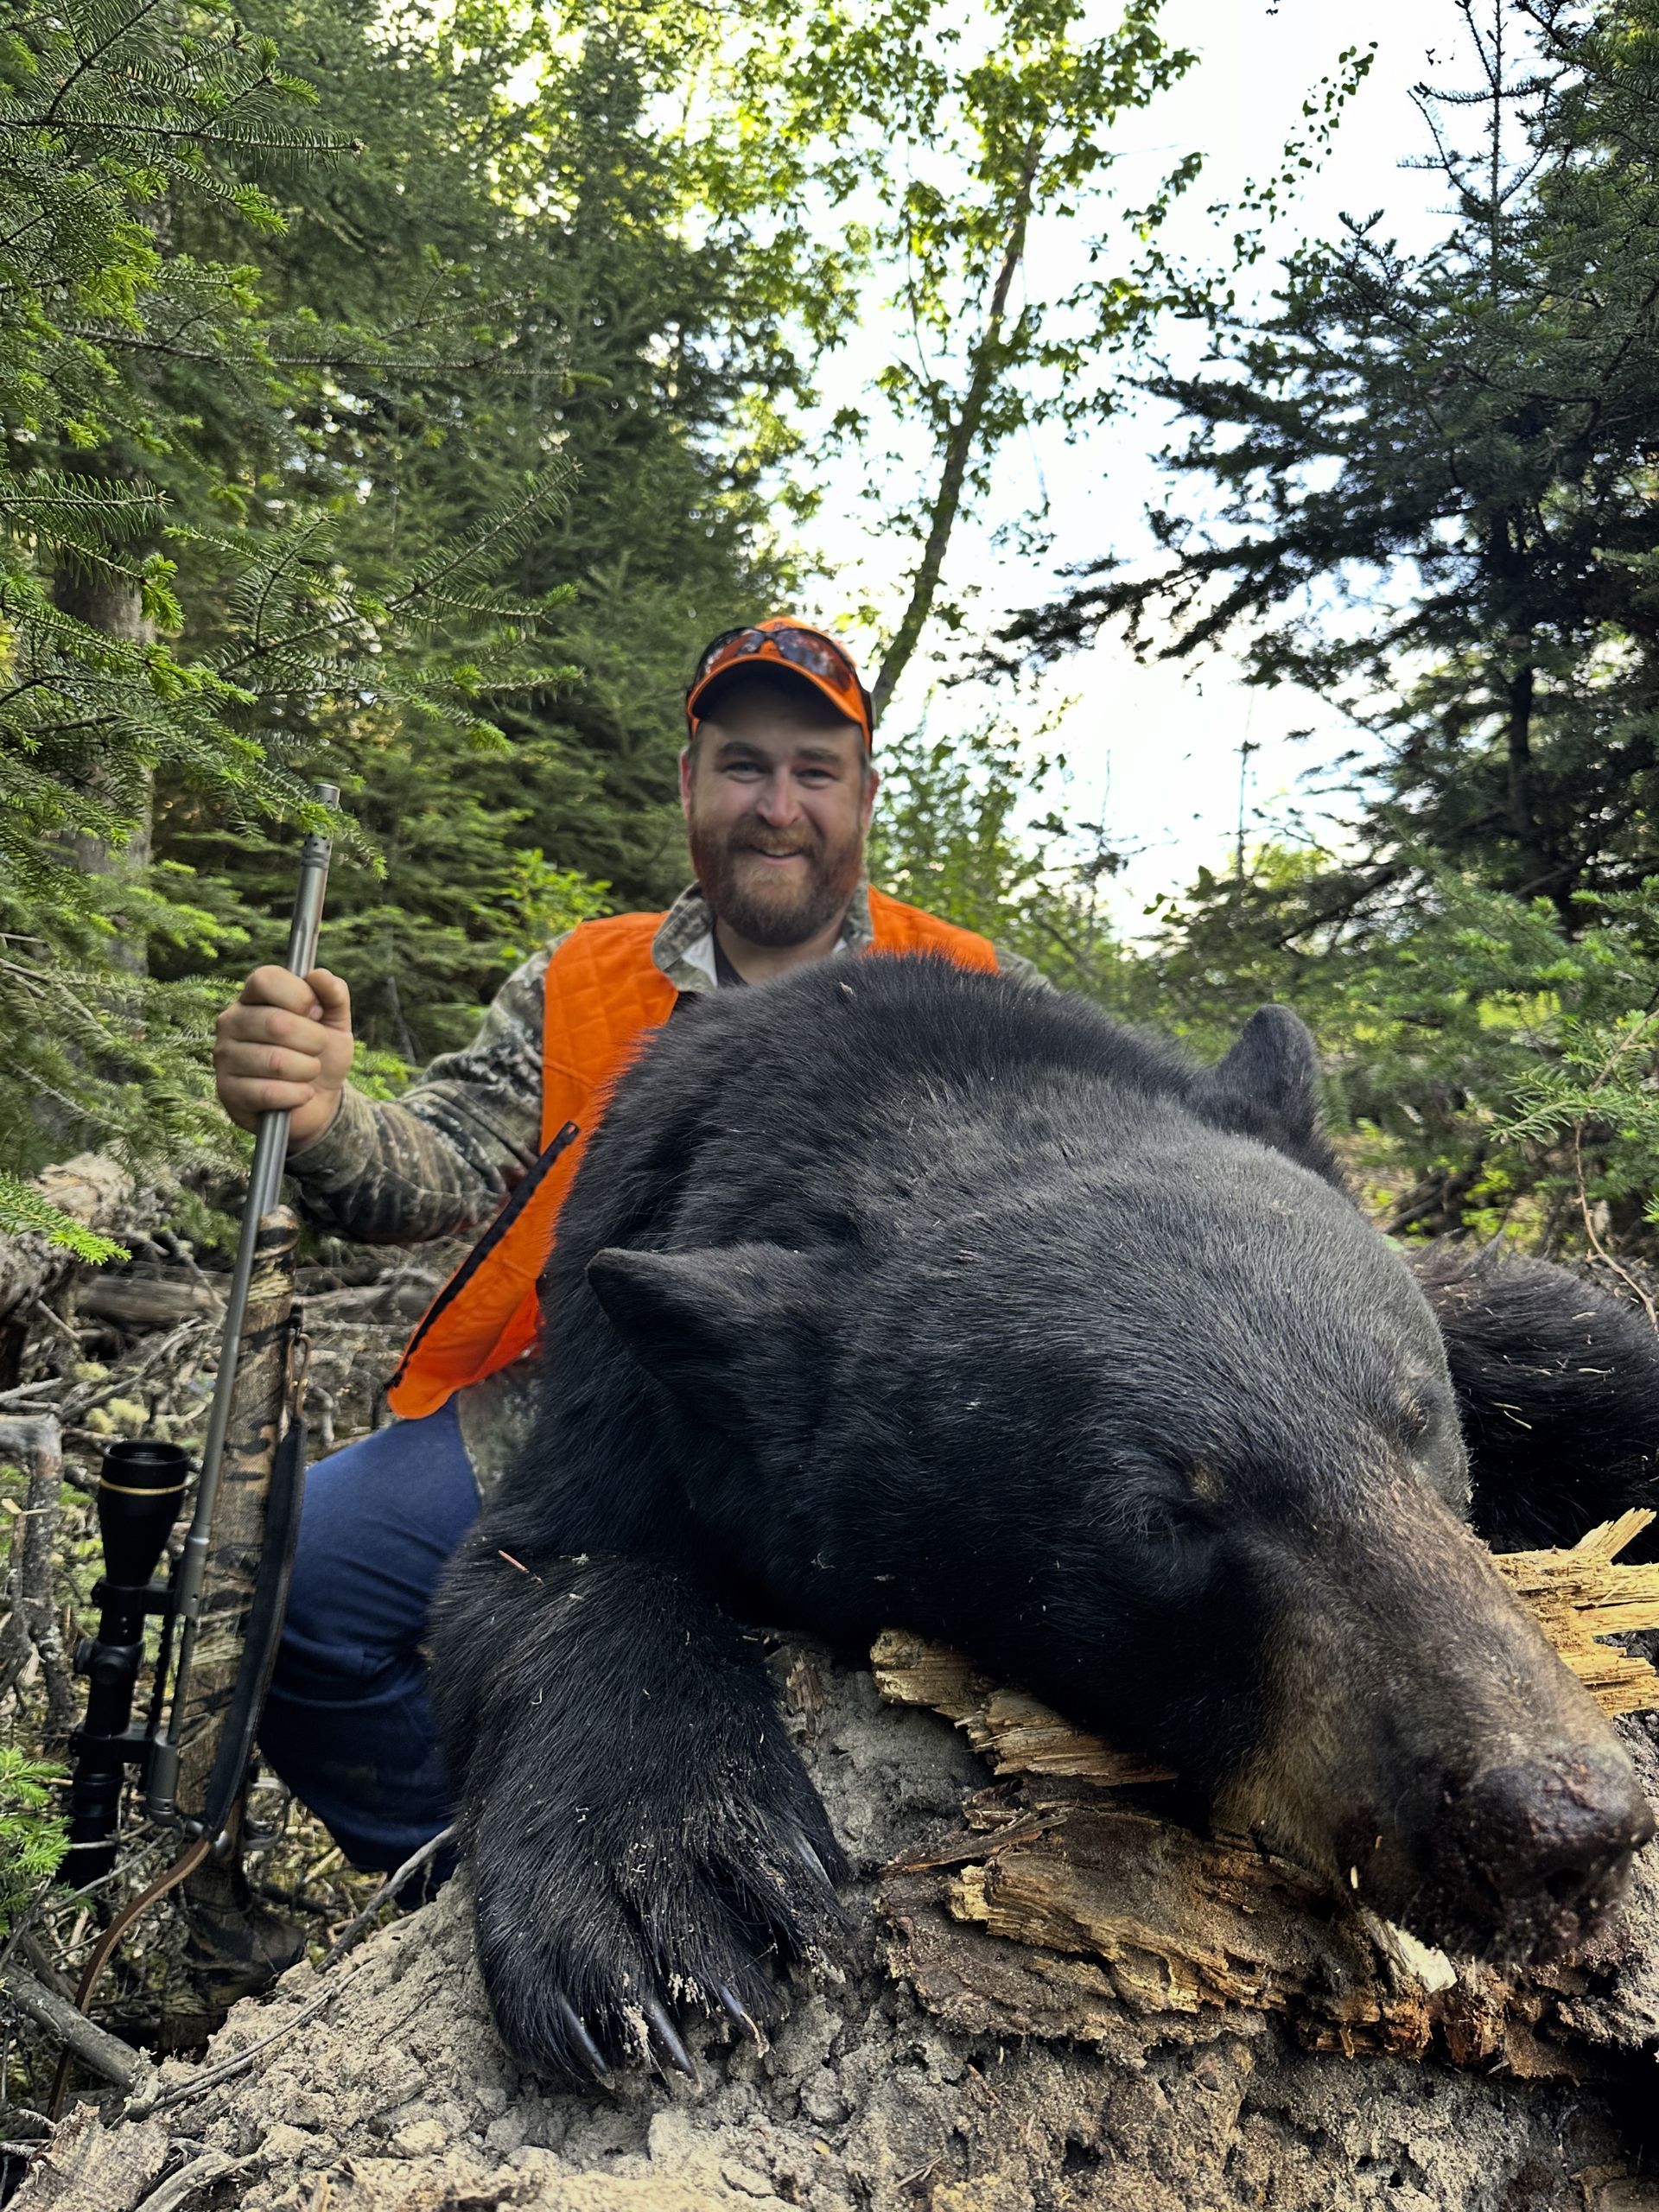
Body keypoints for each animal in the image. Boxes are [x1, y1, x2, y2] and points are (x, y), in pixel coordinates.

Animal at [428, 958, 1658, 2083]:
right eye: (1163, 1520)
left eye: (1419, 1422)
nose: (1559, 1830)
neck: (920, 1072)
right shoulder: (617, 1379)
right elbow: (542, 1564)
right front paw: (661, 1882)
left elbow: (1573, 1348)